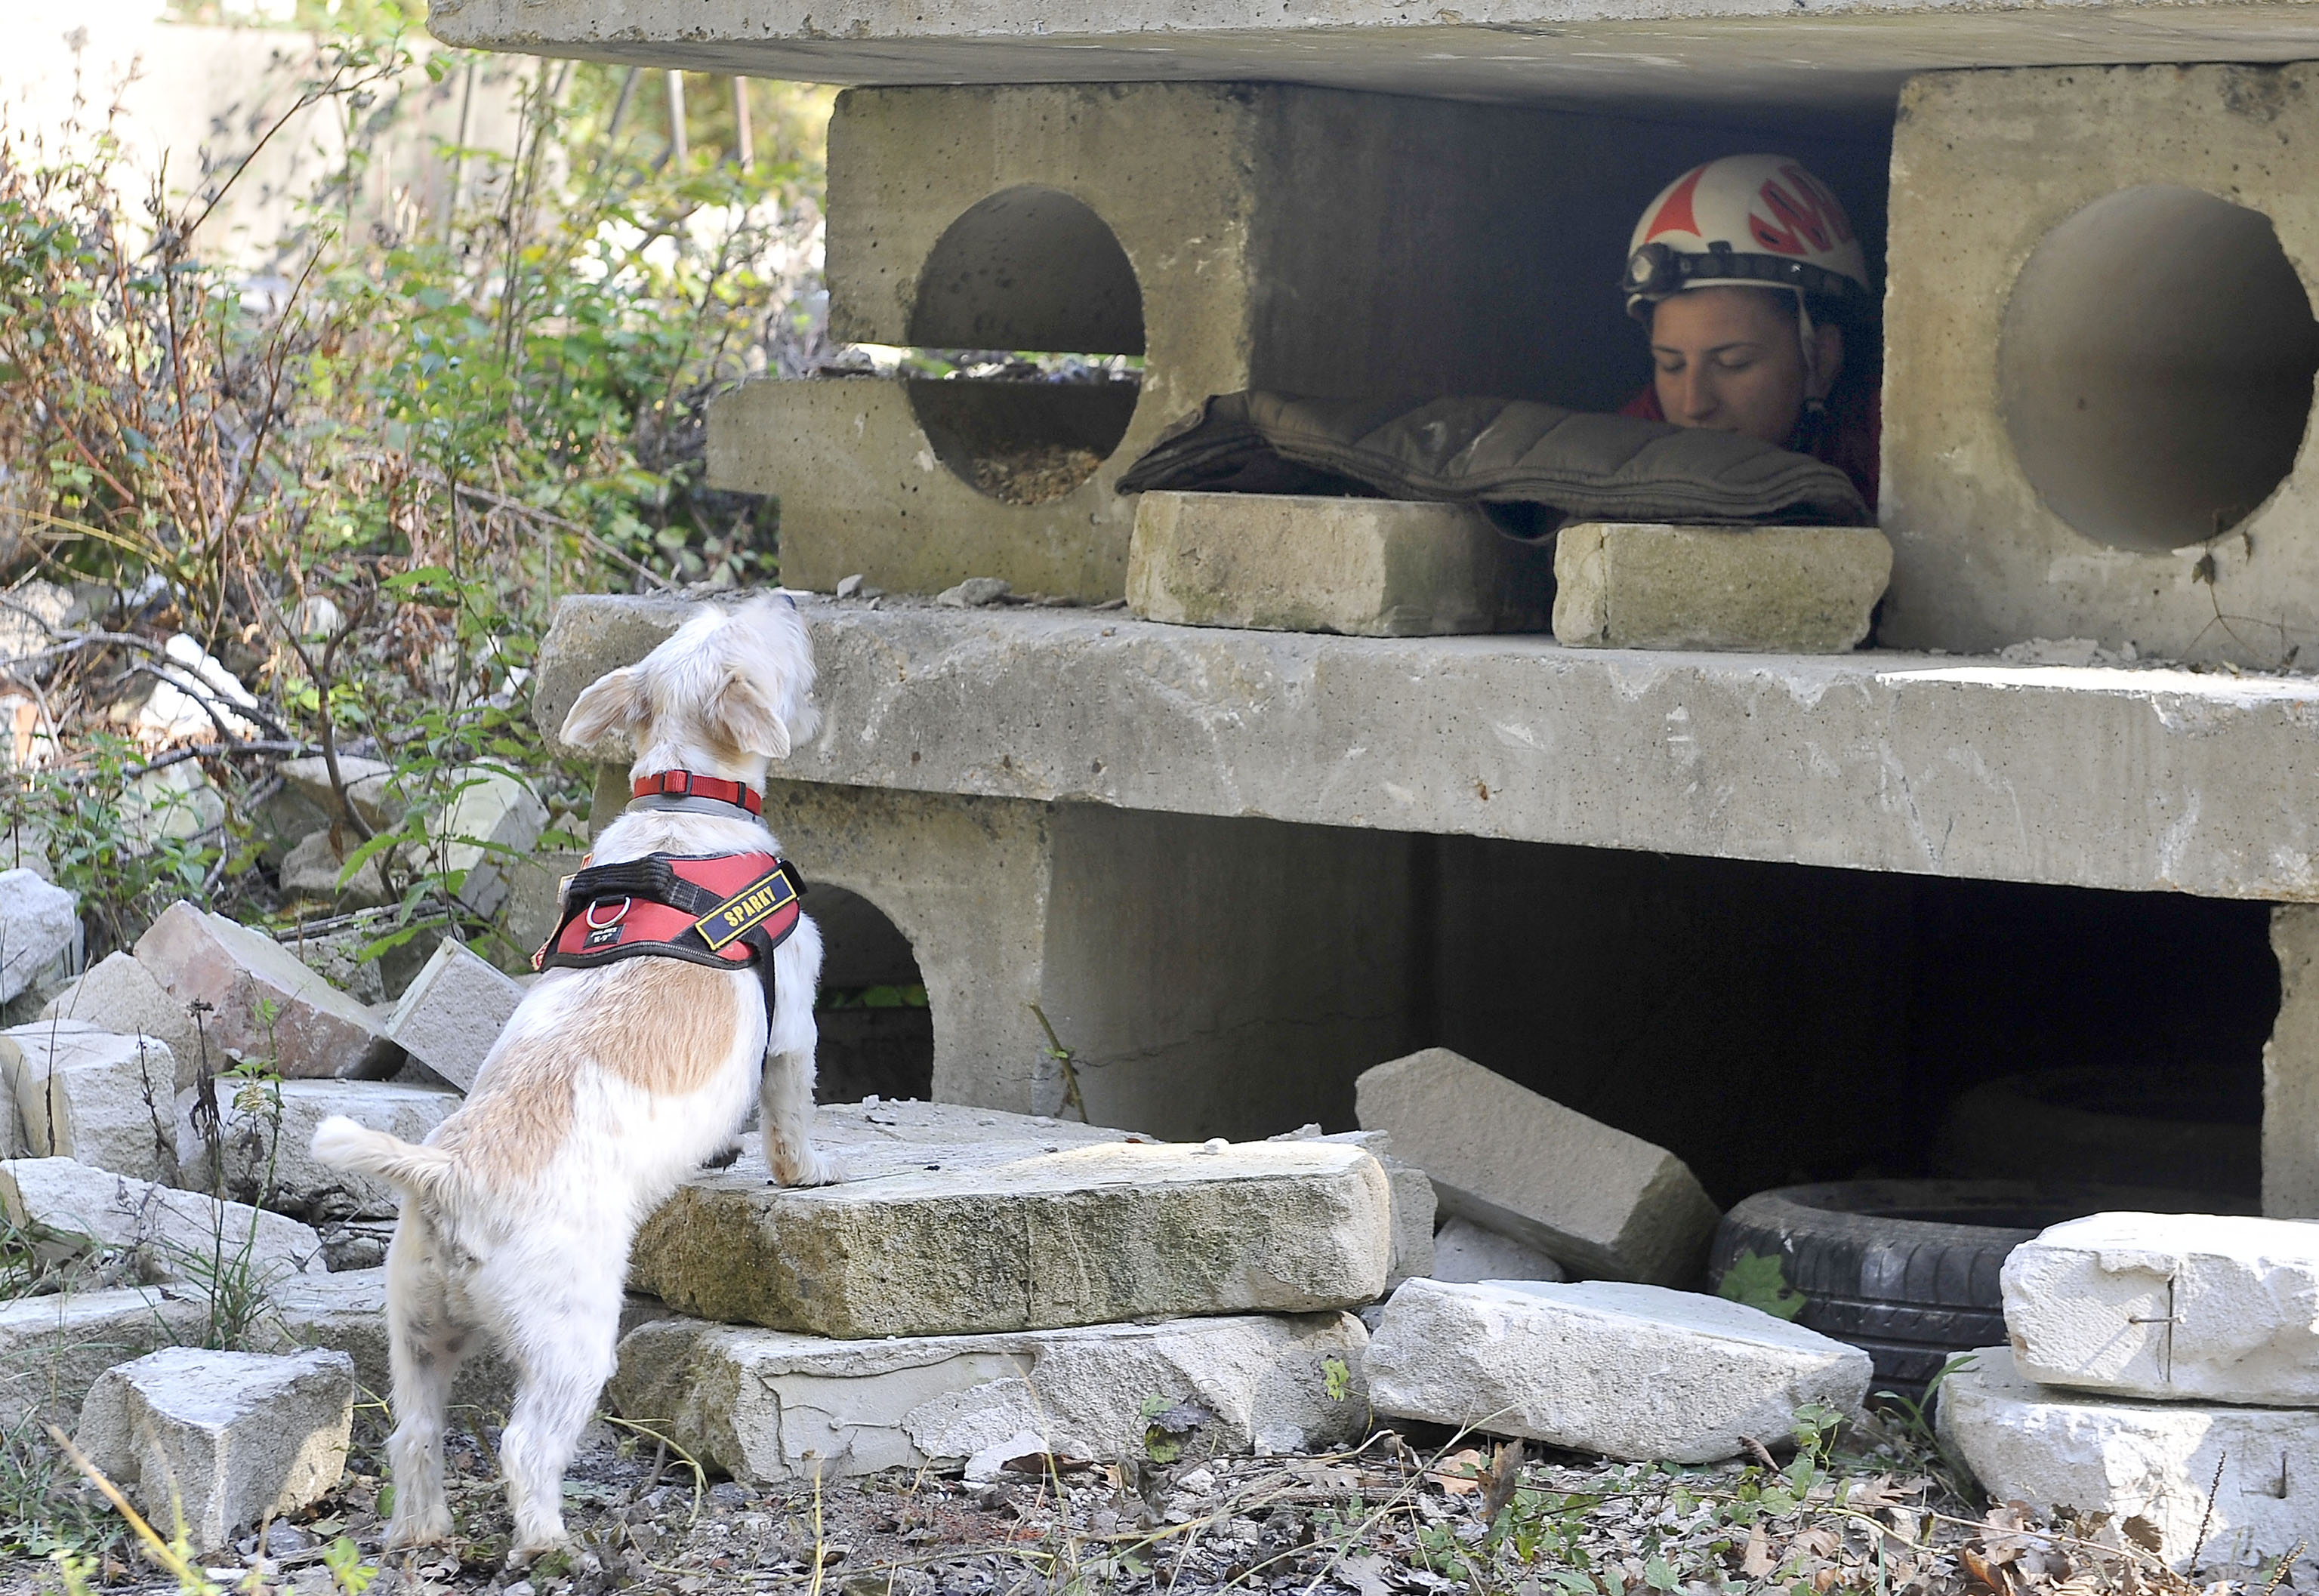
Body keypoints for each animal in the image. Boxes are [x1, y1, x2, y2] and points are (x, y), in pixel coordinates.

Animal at [313, 598, 830, 1558]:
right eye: (751, 631)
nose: (784, 599)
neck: (681, 803)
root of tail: (450, 1171)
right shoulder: (793, 1026)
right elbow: (790, 1109)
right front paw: (804, 1170)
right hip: (571, 1341)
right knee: (524, 1444)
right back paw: (549, 1542)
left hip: (417, 1330)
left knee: (414, 1434)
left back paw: (424, 1531)